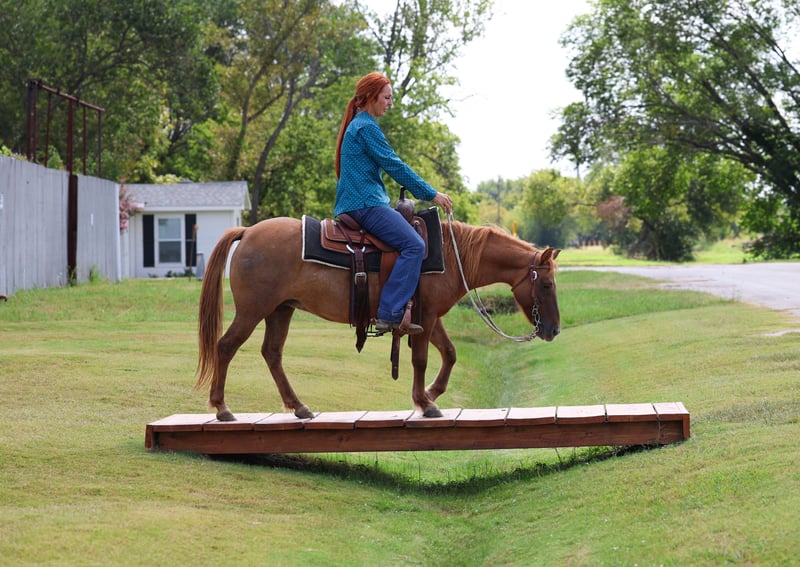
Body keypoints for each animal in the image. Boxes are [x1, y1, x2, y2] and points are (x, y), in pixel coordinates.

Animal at [195, 216, 560, 421]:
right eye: (546, 283)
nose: (553, 330)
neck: (450, 255)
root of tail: (247, 231)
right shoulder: (426, 317)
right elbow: (421, 359)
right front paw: (424, 402)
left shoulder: (428, 317)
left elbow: (450, 353)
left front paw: (432, 392)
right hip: (253, 310)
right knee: (226, 347)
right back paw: (222, 408)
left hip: (280, 310)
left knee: (272, 353)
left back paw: (298, 406)